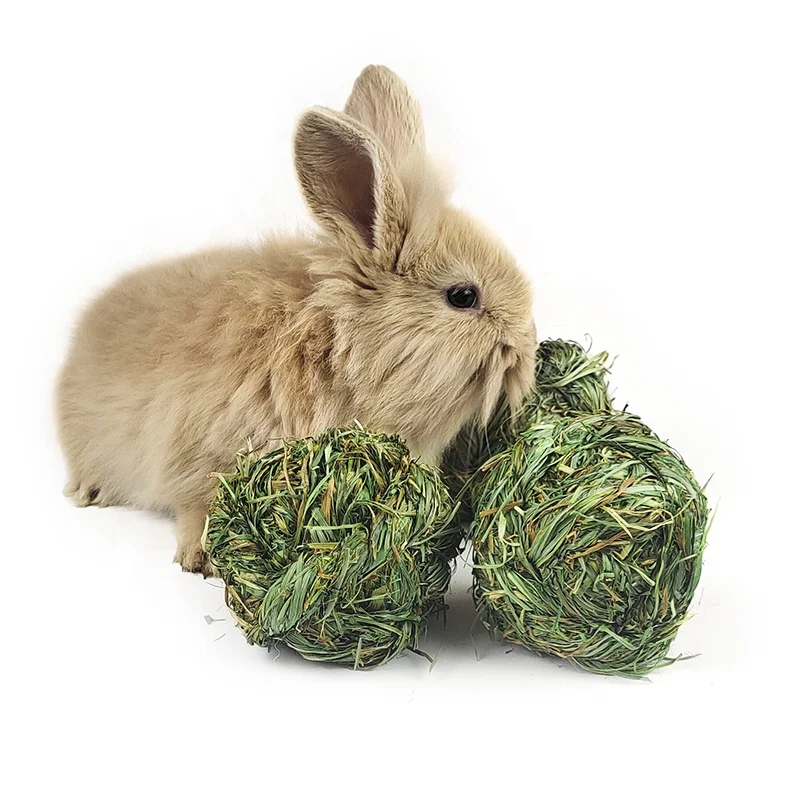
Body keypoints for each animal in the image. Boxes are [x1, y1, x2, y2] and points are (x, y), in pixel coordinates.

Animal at [56, 65, 537, 575]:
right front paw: (199, 557)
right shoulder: (198, 452)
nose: (527, 341)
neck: (335, 347)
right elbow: (197, 503)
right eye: (463, 296)